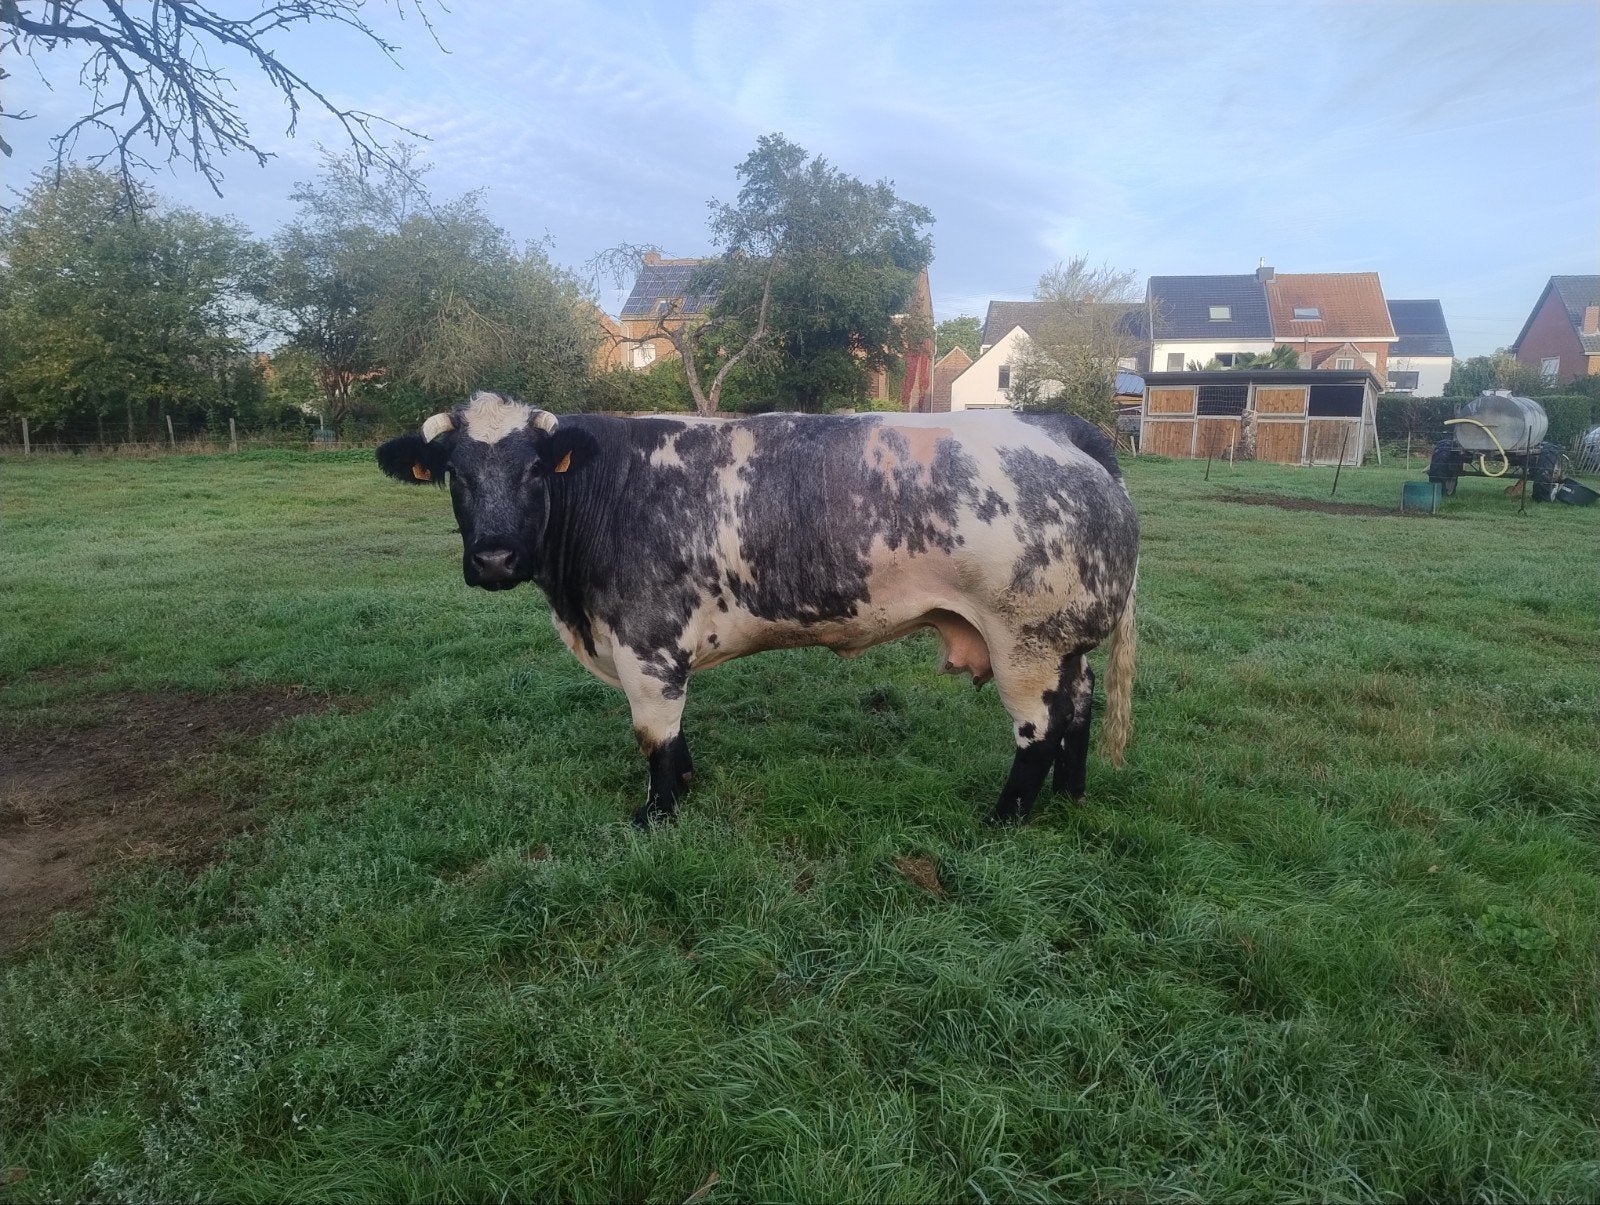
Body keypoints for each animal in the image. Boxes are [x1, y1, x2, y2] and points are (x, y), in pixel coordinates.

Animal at [377, 391, 1139, 827]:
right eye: (455, 473)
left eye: (536, 469)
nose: (495, 558)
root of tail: (1059, 427)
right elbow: (674, 734)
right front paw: (687, 784)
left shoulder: (647, 643)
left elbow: (653, 734)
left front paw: (657, 815)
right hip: (1064, 640)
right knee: (1079, 703)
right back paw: (1072, 796)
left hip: (1027, 639)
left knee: (1038, 729)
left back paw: (1005, 817)